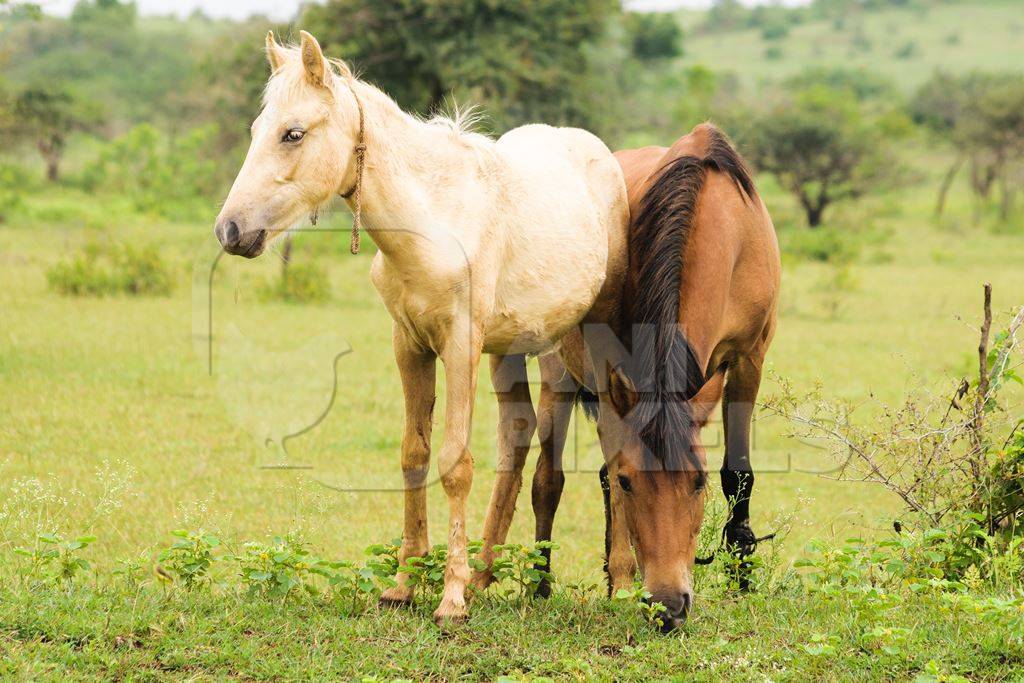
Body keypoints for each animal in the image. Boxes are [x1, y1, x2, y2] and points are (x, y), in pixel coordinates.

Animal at [215, 30, 626, 618]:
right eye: (255, 131)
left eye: (292, 133)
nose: (230, 229)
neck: (433, 221)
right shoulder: (409, 346)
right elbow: (414, 454)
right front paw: (406, 583)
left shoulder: (460, 346)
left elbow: (455, 463)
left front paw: (450, 598)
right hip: (512, 351)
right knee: (517, 434)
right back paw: (487, 575)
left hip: (594, 336)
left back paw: (626, 584)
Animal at [528, 122, 774, 630]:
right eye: (633, 484)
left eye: (698, 481)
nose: (668, 606)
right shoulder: (612, 372)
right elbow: (612, 472)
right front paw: (625, 582)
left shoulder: (749, 359)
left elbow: (738, 473)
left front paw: (742, 577)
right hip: (558, 378)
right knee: (548, 480)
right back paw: (546, 585)